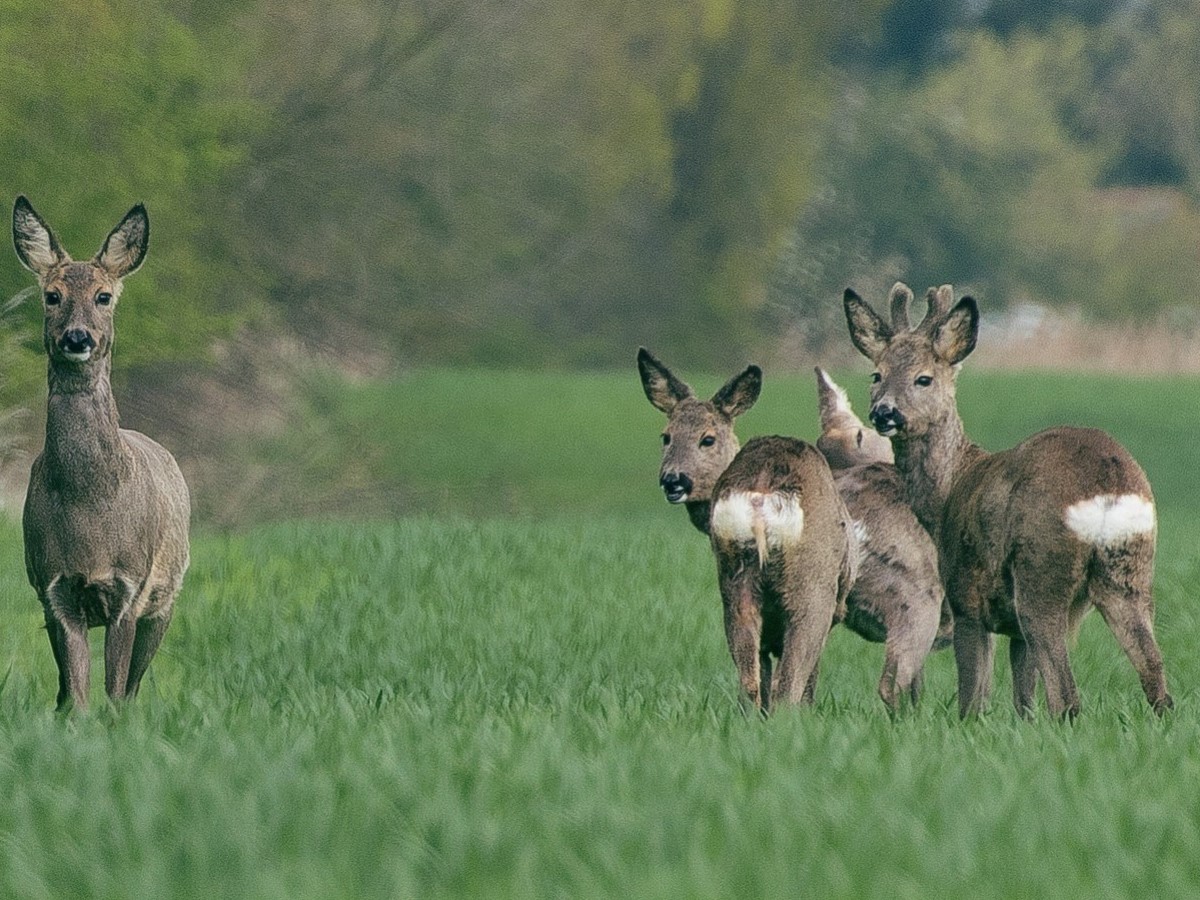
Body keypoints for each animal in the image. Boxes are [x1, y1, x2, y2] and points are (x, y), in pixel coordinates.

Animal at [11, 196, 189, 710]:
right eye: (52, 295)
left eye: (104, 296)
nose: (77, 338)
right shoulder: (53, 588)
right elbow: (76, 697)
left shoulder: (130, 587)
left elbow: (113, 694)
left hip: (165, 599)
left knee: (132, 687)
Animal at [638, 348, 945, 710]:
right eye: (666, 436)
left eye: (707, 439)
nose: (673, 480)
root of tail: (762, 495)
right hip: (825, 591)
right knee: (800, 688)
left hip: (737, 587)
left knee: (751, 684)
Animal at [844, 282, 1171, 720]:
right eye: (876, 374)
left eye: (923, 378)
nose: (884, 412)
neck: (948, 490)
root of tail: (1108, 484)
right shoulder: (1011, 628)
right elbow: (1022, 702)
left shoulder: (966, 596)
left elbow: (973, 698)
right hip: (1130, 572)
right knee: (1155, 676)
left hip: (1041, 569)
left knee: (1066, 696)